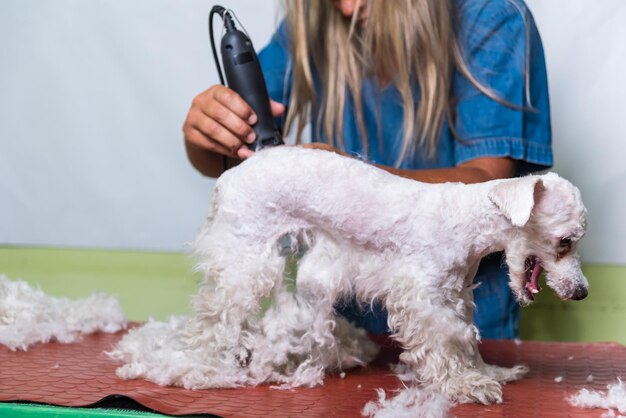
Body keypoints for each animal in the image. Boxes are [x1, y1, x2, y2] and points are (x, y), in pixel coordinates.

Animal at [111, 147, 584, 404]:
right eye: (565, 241)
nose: (581, 292)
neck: (467, 220)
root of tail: (228, 175)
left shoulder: (454, 298)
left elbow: (464, 340)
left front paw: (487, 372)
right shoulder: (422, 299)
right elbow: (441, 347)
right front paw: (464, 384)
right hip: (244, 263)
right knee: (213, 321)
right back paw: (202, 369)